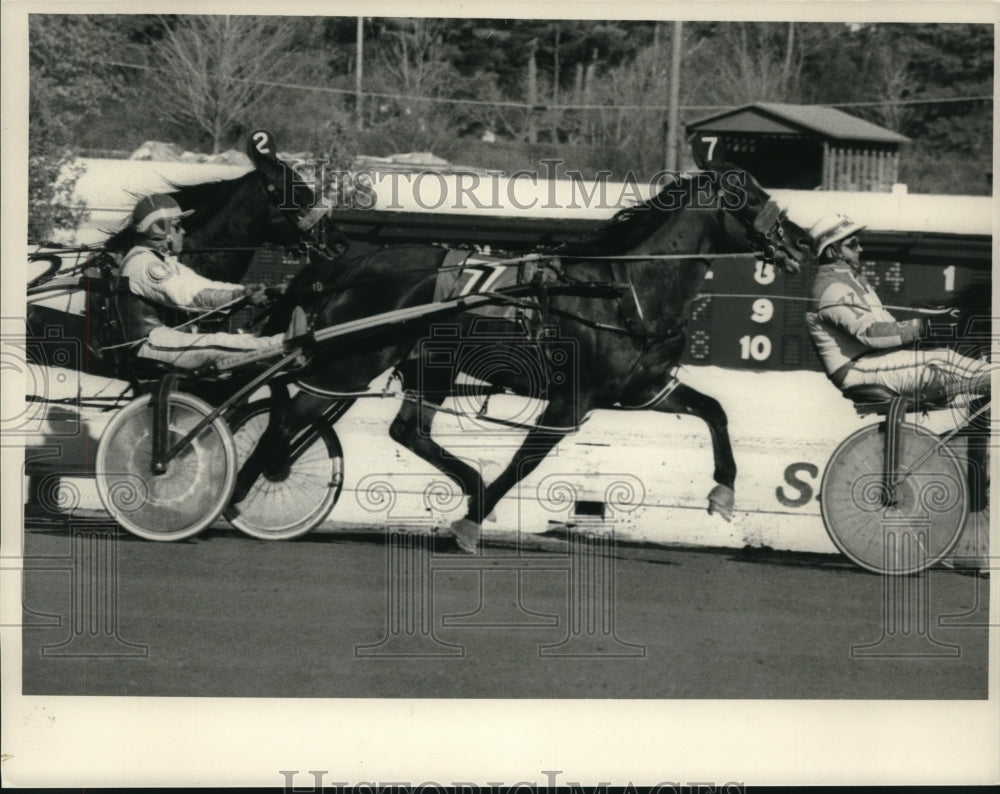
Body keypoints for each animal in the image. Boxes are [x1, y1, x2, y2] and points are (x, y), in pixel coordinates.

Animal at [238, 166, 816, 552]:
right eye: (750, 198)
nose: (804, 241)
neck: (622, 289)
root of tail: (353, 264)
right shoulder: (571, 401)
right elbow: (525, 462)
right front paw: (471, 522)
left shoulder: (644, 387)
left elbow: (714, 411)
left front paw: (723, 492)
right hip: (354, 361)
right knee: (291, 416)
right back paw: (247, 487)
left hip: (427, 365)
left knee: (406, 430)